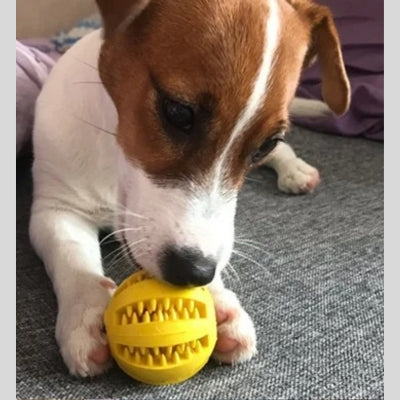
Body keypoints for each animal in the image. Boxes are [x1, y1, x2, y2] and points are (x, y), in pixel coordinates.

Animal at [28, 0, 348, 378]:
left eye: (265, 144)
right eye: (178, 112)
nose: (193, 273)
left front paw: (220, 301)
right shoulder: (55, 209)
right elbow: (71, 255)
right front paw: (86, 312)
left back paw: (296, 170)